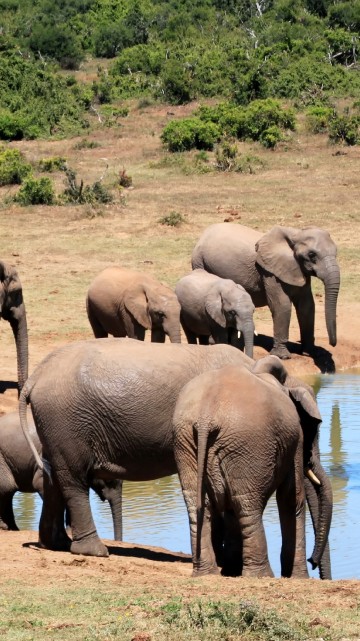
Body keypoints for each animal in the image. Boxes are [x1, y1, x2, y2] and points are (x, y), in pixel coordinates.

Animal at [0, 408, 123, 536]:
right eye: (108, 480)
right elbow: (42, 485)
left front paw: (70, 531)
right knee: (7, 487)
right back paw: (6, 527)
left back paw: (12, 528)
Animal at [19, 340, 256, 556]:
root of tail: (36, 376)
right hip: (65, 421)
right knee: (73, 480)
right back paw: (94, 551)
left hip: (54, 425)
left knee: (53, 476)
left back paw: (55, 544)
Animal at [173, 356, 334, 580]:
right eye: (314, 429)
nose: (313, 562)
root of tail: (206, 417)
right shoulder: (295, 439)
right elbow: (291, 498)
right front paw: (299, 578)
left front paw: (232, 571)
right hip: (247, 443)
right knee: (247, 504)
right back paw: (262, 575)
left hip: (187, 441)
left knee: (200, 504)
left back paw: (207, 573)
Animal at [191, 222, 340, 358]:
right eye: (312, 254)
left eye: (336, 252)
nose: (333, 344)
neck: (295, 233)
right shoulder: (269, 272)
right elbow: (282, 305)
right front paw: (282, 356)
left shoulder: (298, 269)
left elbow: (306, 305)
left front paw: (309, 352)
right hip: (199, 261)